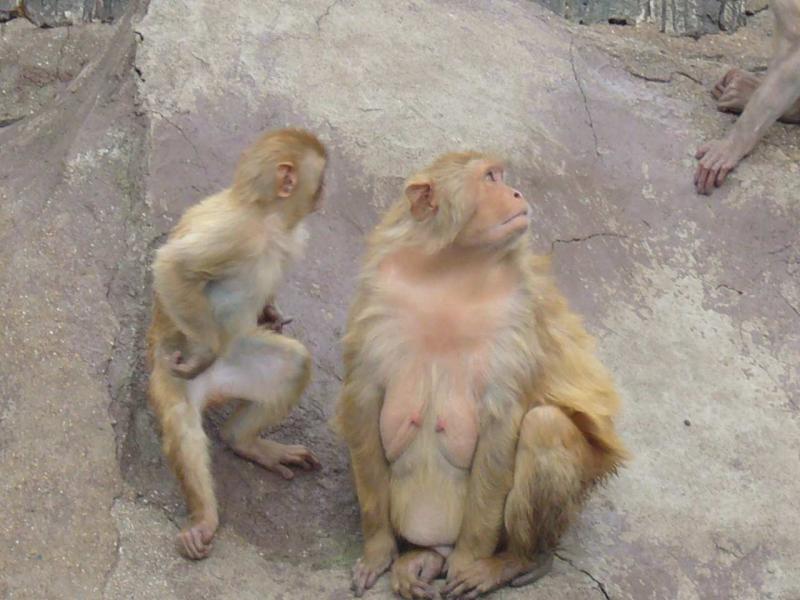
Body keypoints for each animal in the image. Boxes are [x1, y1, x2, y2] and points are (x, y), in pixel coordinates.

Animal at [147, 128, 326, 559]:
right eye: (321, 179)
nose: (324, 193)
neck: (268, 220)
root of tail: (213, 389)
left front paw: (271, 313)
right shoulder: (235, 233)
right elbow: (172, 266)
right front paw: (204, 351)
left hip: (240, 360)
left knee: (294, 363)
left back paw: (244, 442)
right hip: (169, 368)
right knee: (182, 422)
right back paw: (204, 519)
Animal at [334, 153, 629, 599]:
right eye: (490, 178)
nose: (517, 192)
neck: (451, 269)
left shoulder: (516, 313)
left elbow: (501, 423)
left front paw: (468, 561)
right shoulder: (377, 293)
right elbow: (363, 401)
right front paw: (378, 549)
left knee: (544, 426)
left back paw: (515, 560)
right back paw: (420, 559)